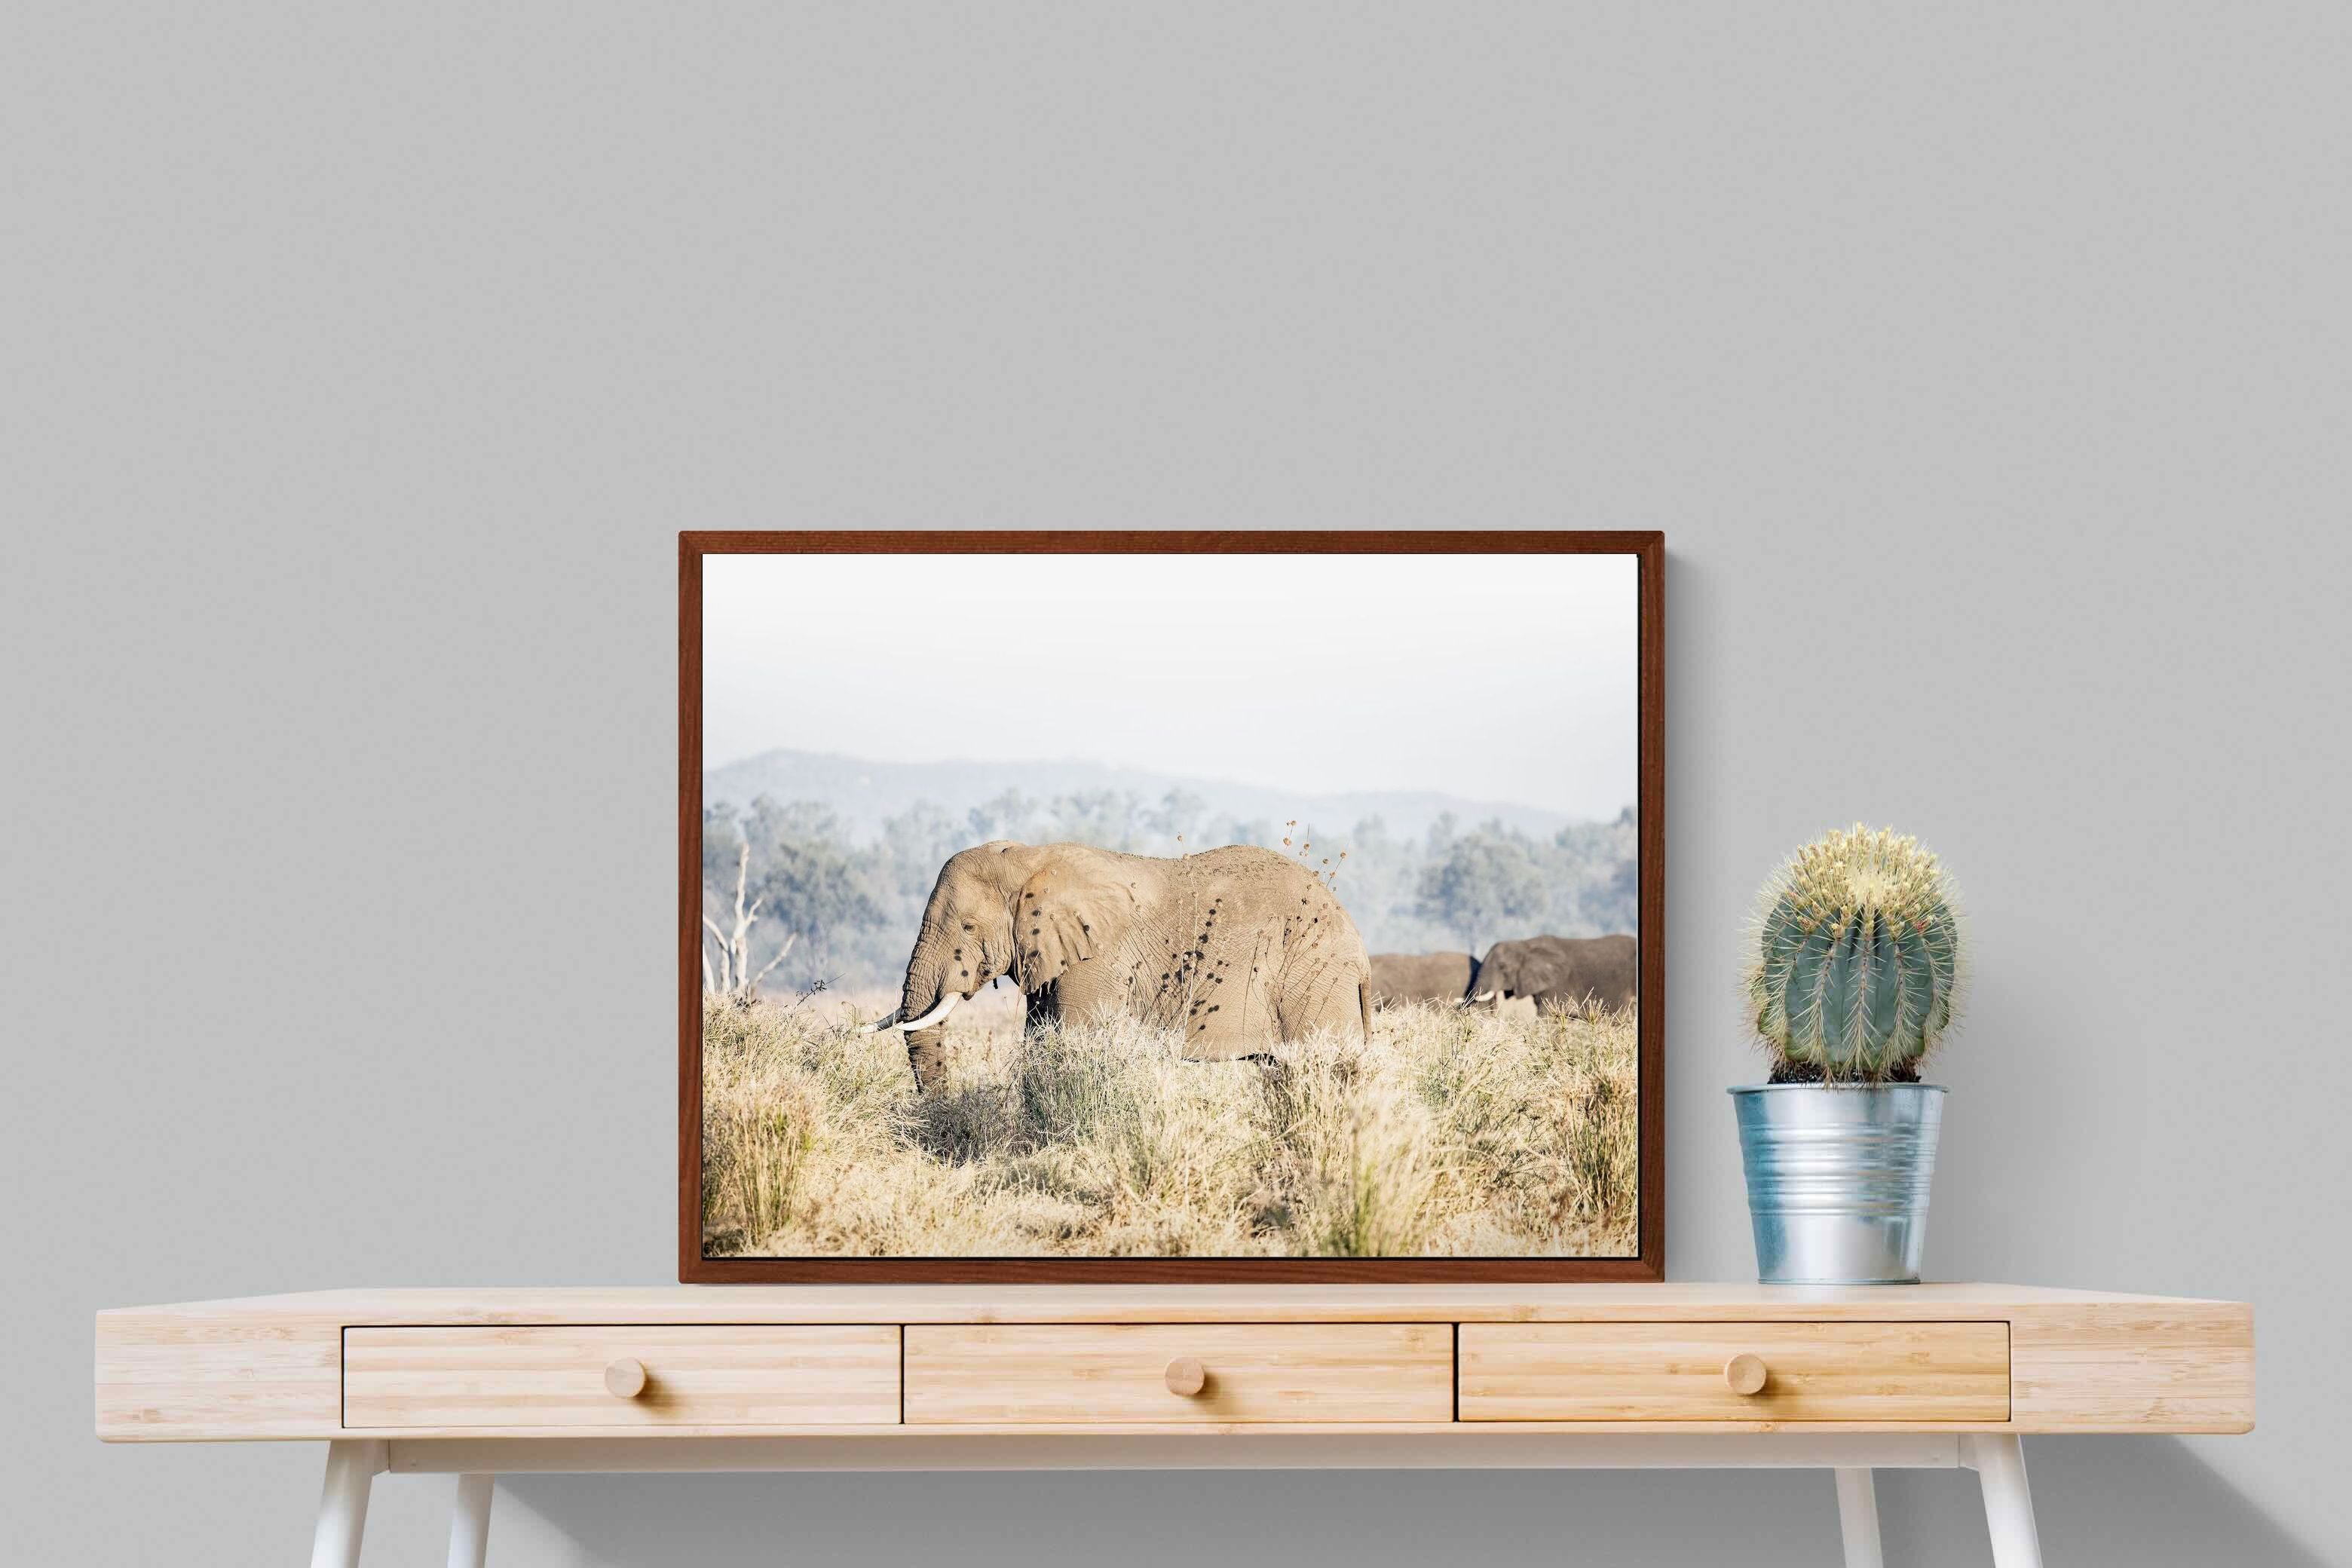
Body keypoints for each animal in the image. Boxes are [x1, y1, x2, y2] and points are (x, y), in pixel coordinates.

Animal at [866, 840, 1372, 1090]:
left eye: (968, 927)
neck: (1031, 858)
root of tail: (1359, 949)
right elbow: (1039, 1045)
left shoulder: (1098, 959)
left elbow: (1073, 1043)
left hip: (1313, 977)